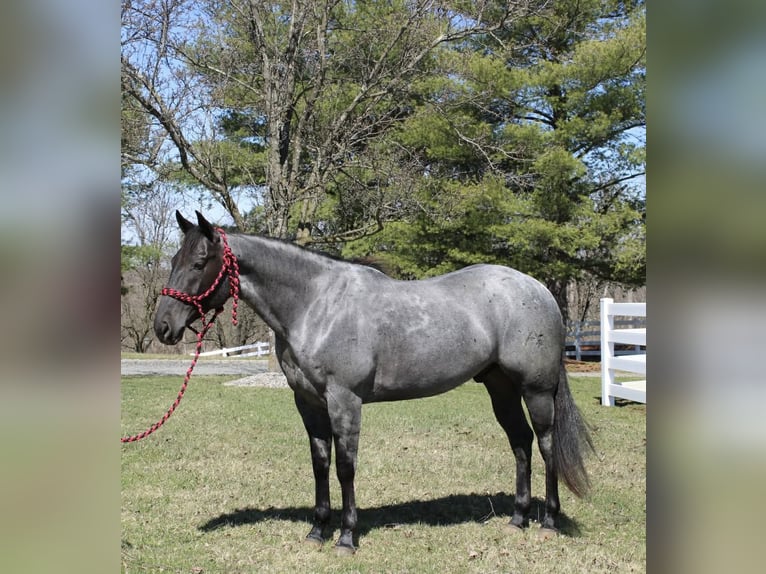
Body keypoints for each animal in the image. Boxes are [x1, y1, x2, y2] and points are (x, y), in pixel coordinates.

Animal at [154, 210, 593, 554]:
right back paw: (517, 519)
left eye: (199, 263)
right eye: (175, 259)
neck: (316, 304)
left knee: (546, 444)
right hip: (499, 387)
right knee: (520, 442)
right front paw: (317, 531)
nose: (163, 327)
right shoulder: (308, 403)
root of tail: (539, 289)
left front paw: (346, 538)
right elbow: (320, 463)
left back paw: (548, 523)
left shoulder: (344, 401)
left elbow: (346, 467)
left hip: (536, 389)